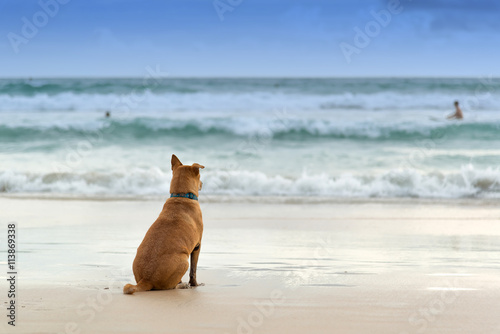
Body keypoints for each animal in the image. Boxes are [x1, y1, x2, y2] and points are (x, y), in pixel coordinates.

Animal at [124, 155, 204, 294]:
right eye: (199, 177)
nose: (203, 184)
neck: (181, 195)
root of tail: (146, 280)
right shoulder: (197, 246)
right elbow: (193, 271)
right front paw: (195, 284)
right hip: (184, 261)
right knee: (173, 285)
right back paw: (183, 285)